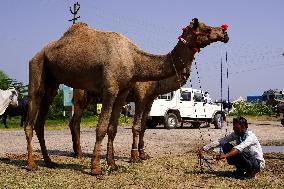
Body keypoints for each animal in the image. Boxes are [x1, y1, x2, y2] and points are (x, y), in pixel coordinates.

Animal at [24, 18, 229, 175]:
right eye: (206, 28)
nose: (225, 33)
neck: (135, 61)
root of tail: (39, 53)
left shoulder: (126, 93)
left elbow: (116, 129)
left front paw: (114, 164)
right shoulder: (117, 90)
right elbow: (109, 127)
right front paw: (100, 166)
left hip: (53, 80)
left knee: (44, 120)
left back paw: (50, 161)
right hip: (39, 67)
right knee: (36, 114)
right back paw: (34, 164)